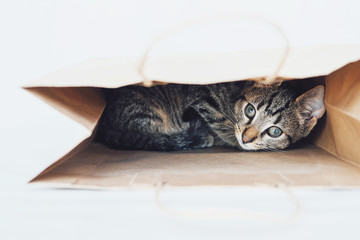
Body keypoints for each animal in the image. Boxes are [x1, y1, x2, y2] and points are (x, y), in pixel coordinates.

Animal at [96, 81, 326, 151]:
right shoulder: (199, 95)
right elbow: (221, 122)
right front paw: (230, 137)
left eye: (275, 131)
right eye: (250, 110)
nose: (245, 139)